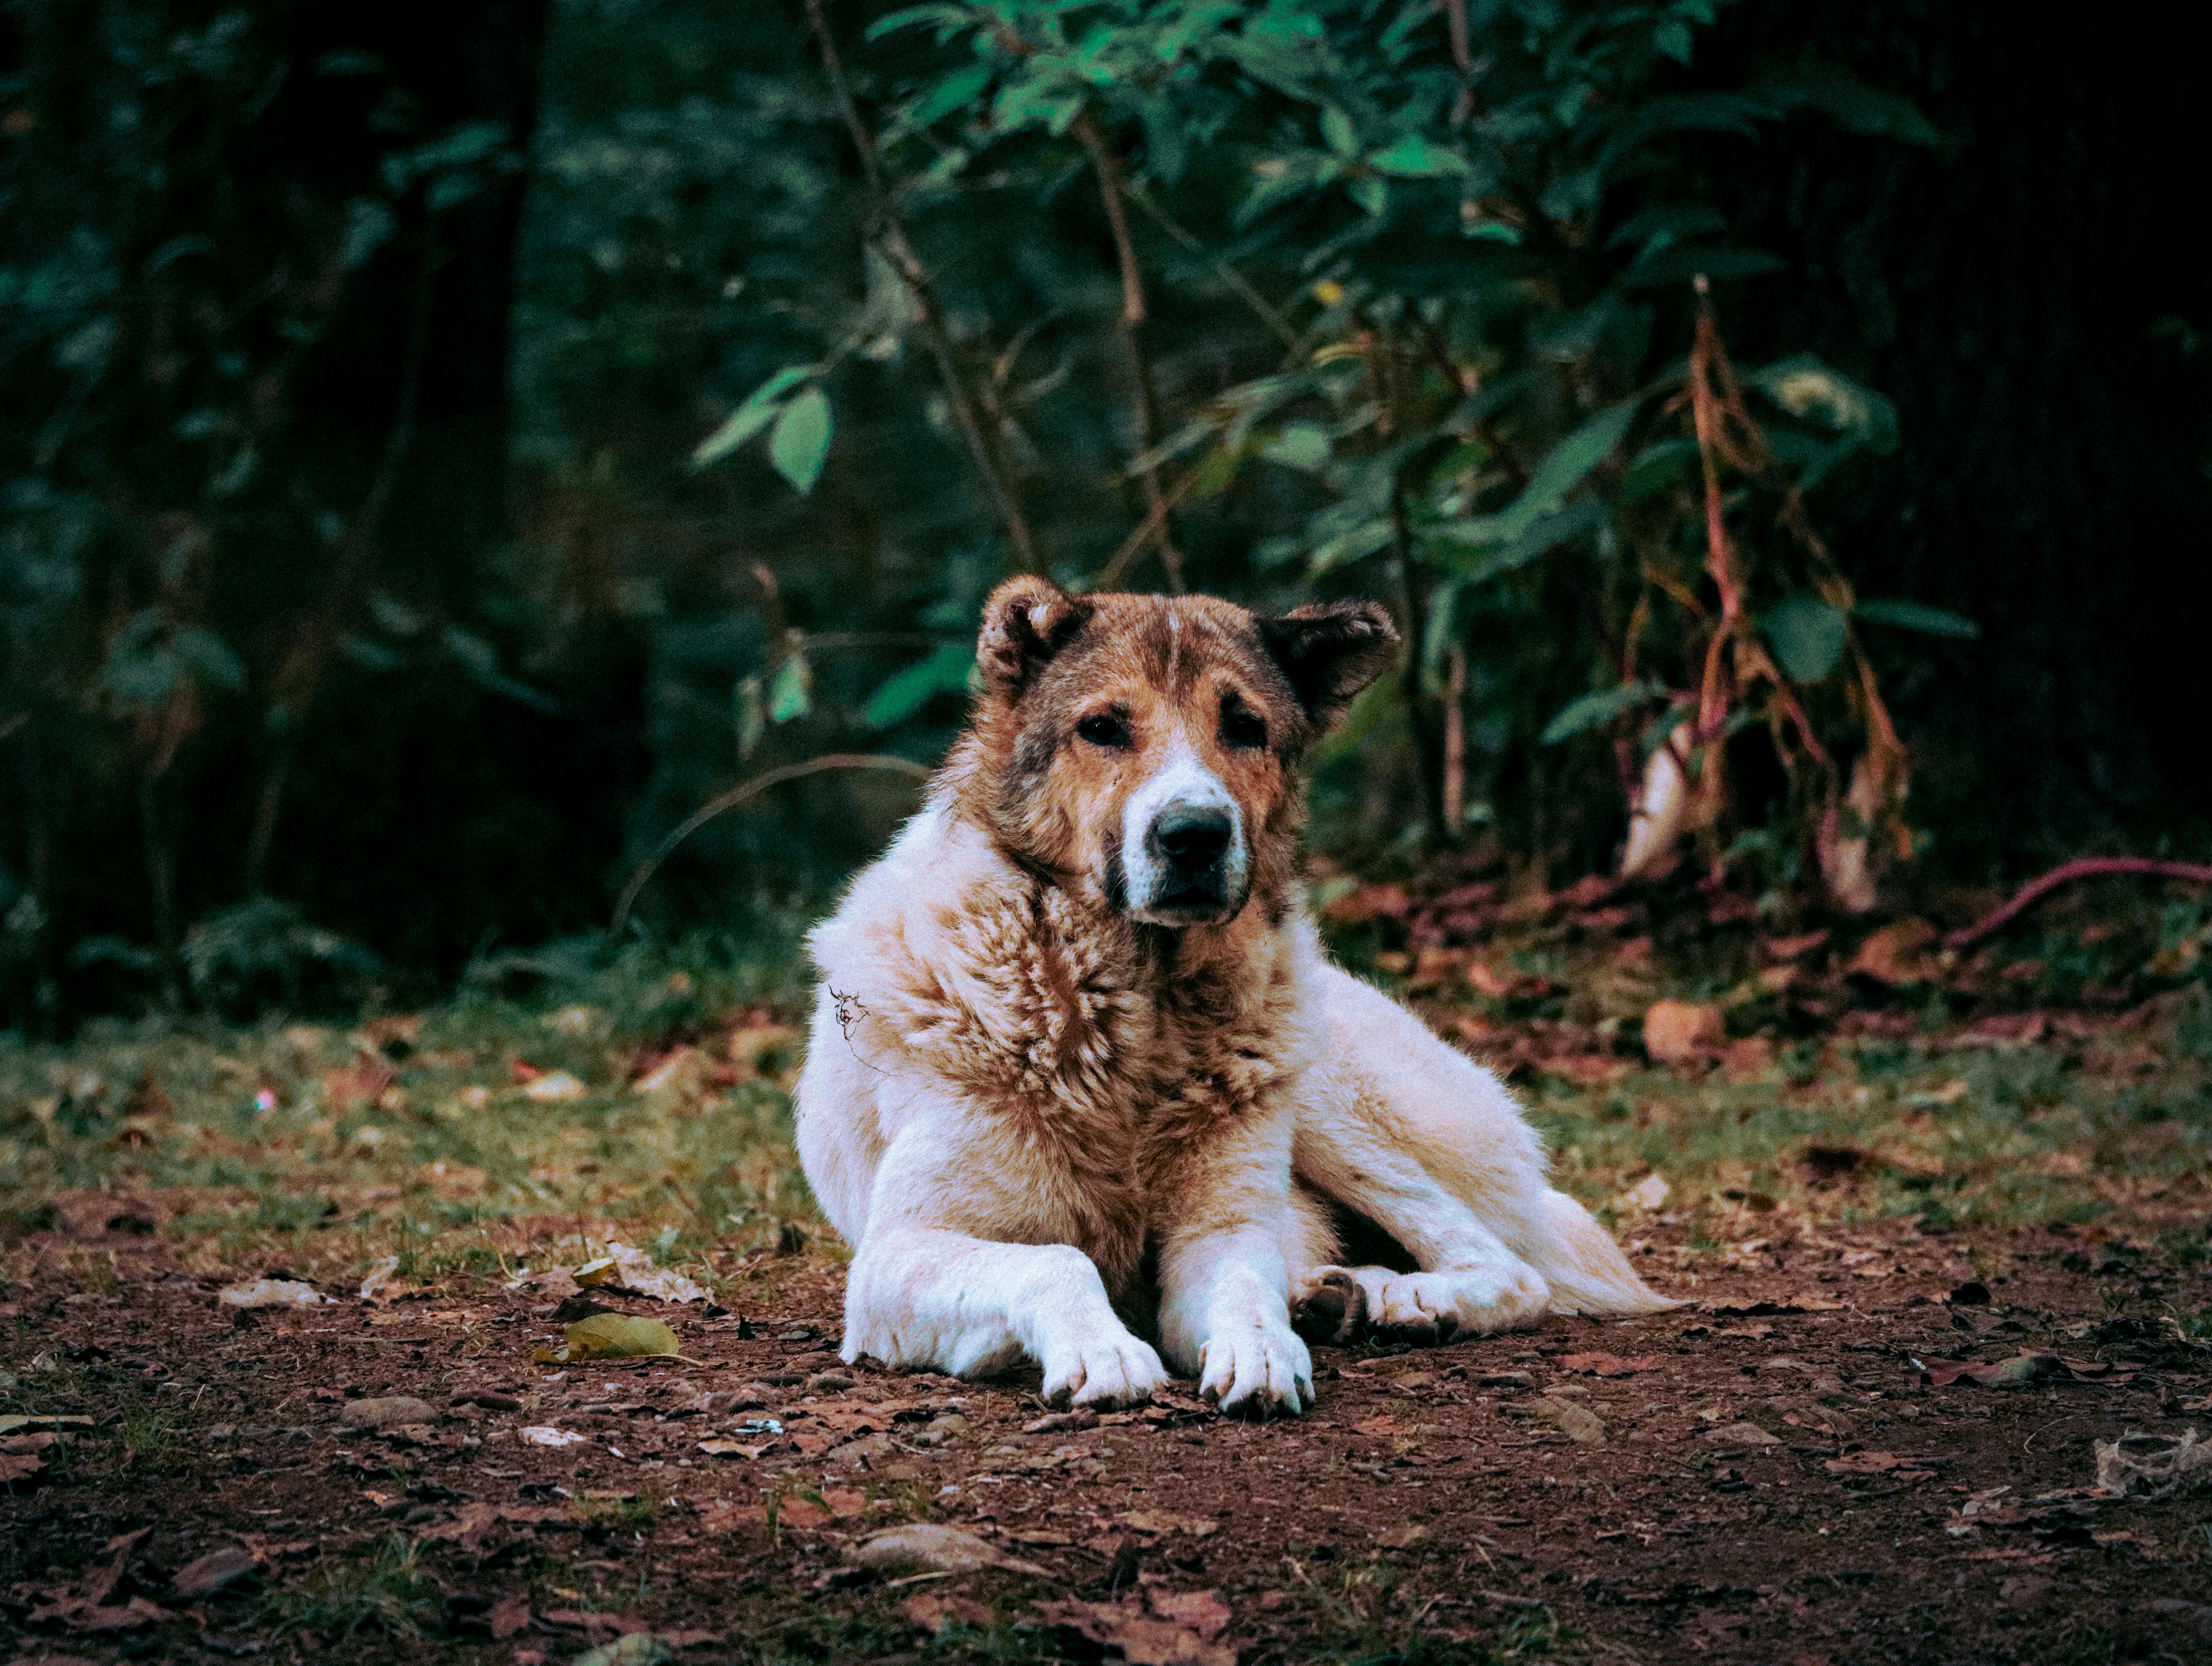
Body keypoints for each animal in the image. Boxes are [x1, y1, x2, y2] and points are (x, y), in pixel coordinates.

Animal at [800, 575, 1672, 1416]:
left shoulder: (1217, 1235)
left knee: (1509, 1268)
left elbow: (1245, 1289)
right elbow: (1055, 1260)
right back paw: (1339, 1294)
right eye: (1102, 728)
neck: (1135, 1008)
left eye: (1245, 727)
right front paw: (1106, 1350)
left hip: (1326, 1098)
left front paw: (1263, 1351)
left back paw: (1401, 1300)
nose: (1194, 835)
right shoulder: (894, 1259)